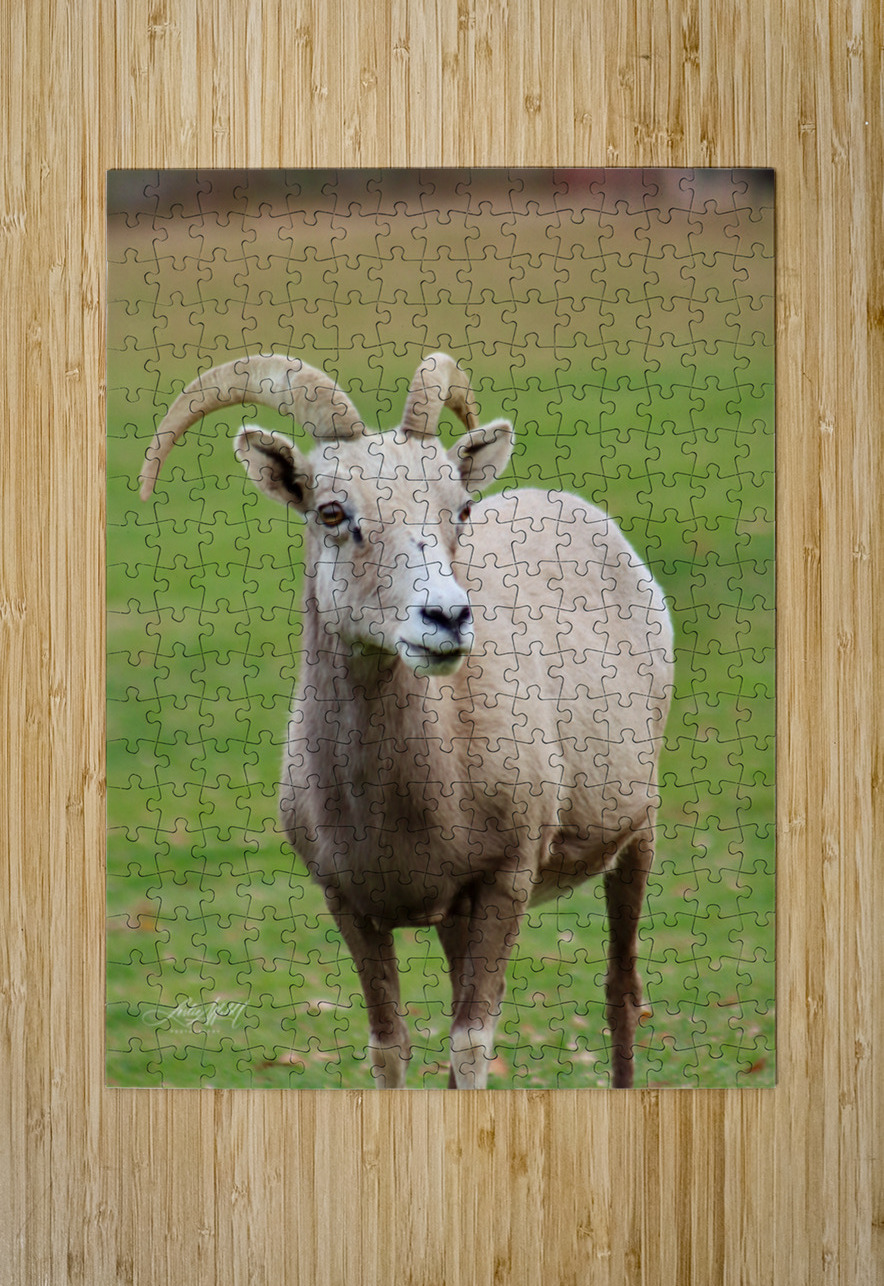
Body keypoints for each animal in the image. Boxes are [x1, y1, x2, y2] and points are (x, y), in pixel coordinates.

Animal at [140, 352, 674, 1088]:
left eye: (461, 509)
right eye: (332, 510)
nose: (446, 618)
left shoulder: (506, 882)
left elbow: (470, 1044)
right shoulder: (351, 904)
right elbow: (389, 1046)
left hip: (636, 837)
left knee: (621, 991)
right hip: (457, 920)